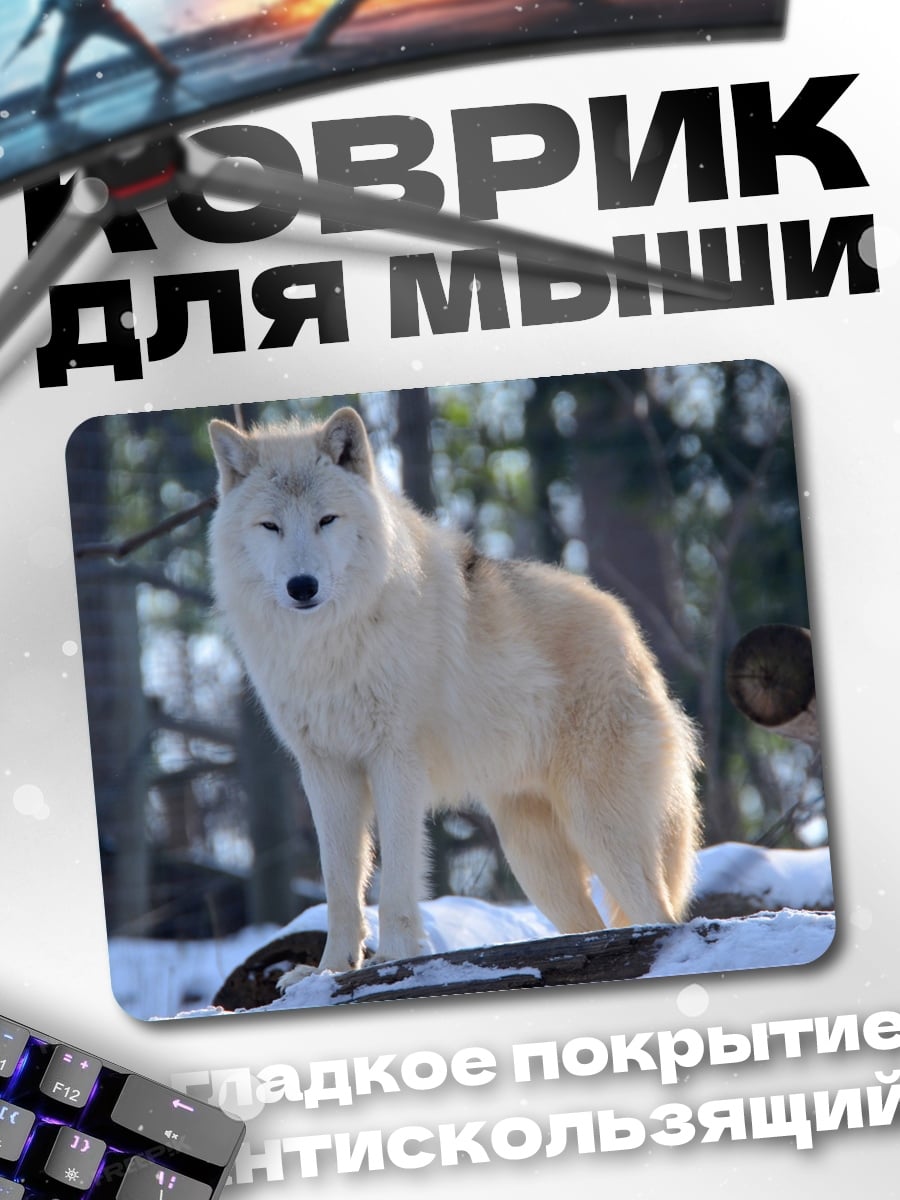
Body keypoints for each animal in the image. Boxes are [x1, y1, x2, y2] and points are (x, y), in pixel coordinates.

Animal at [208, 406, 701, 985]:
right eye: (271, 526)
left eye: (327, 520)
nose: (302, 586)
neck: (329, 645)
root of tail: (634, 637)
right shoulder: (326, 771)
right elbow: (340, 889)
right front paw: (328, 971)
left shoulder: (395, 761)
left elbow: (398, 881)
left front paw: (396, 959)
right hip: (534, 859)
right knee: (594, 925)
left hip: (600, 830)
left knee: (659, 915)